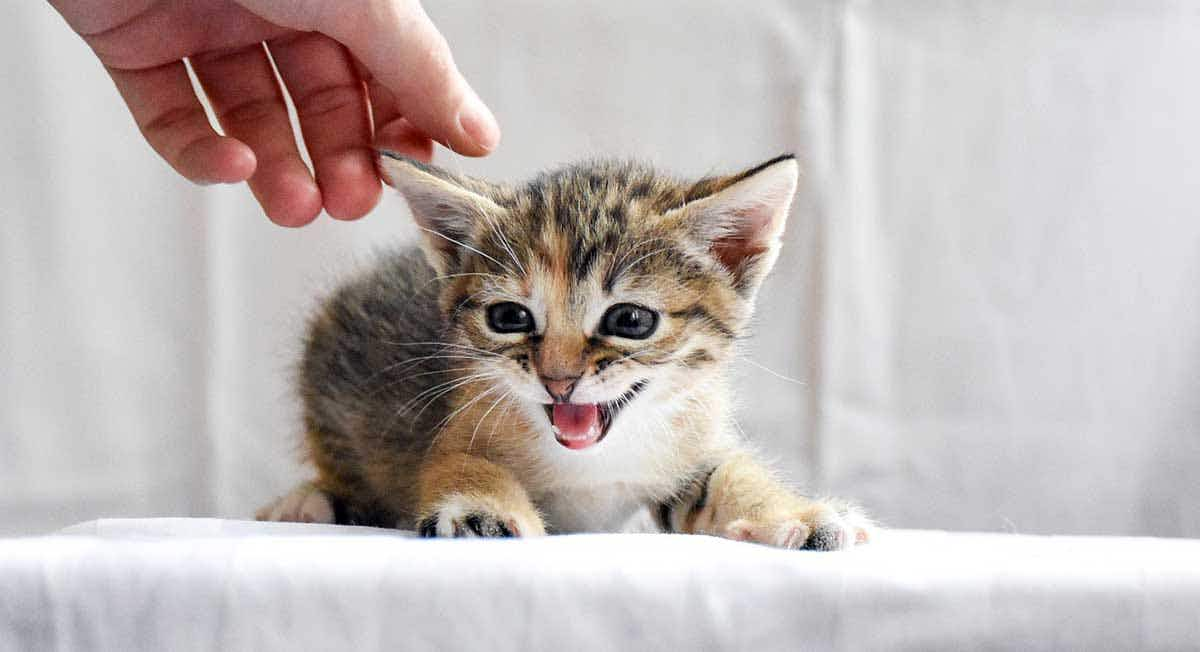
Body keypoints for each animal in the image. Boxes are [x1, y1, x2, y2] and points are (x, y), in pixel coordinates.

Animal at [255, 150, 873, 547]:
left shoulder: (693, 443)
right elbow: (459, 462)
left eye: (630, 320)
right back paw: (305, 503)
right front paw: (481, 508)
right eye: (509, 317)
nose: (558, 380)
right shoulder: (458, 422)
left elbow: (730, 473)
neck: (595, 464)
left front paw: (797, 514)